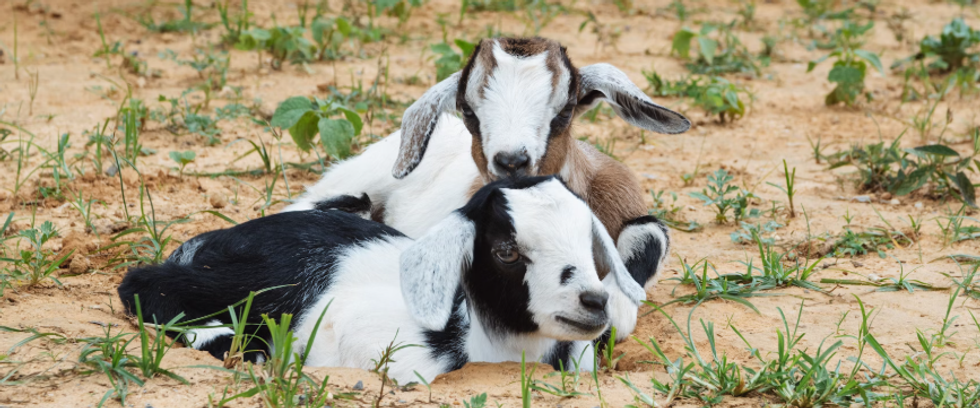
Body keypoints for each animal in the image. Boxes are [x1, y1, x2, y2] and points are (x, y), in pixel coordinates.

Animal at [117, 176, 645, 384]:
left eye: (589, 240)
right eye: (506, 251)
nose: (594, 301)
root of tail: (208, 241)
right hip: (247, 280)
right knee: (144, 285)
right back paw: (229, 341)